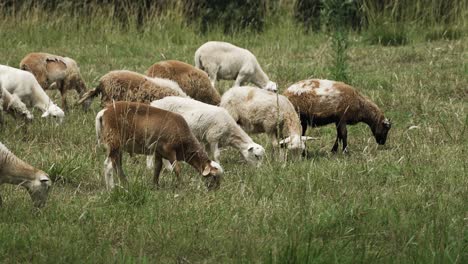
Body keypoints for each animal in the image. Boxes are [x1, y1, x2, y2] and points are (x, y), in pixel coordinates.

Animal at [95, 100, 223, 190]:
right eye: (214, 177)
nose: (216, 191)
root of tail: (103, 112)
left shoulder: (159, 152)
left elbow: (158, 168)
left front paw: (155, 186)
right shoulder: (169, 150)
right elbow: (177, 168)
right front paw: (181, 185)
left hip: (117, 146)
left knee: (117, 165)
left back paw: (125, 184)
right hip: (114, 142)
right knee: (108, 165)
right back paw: (111, 188)